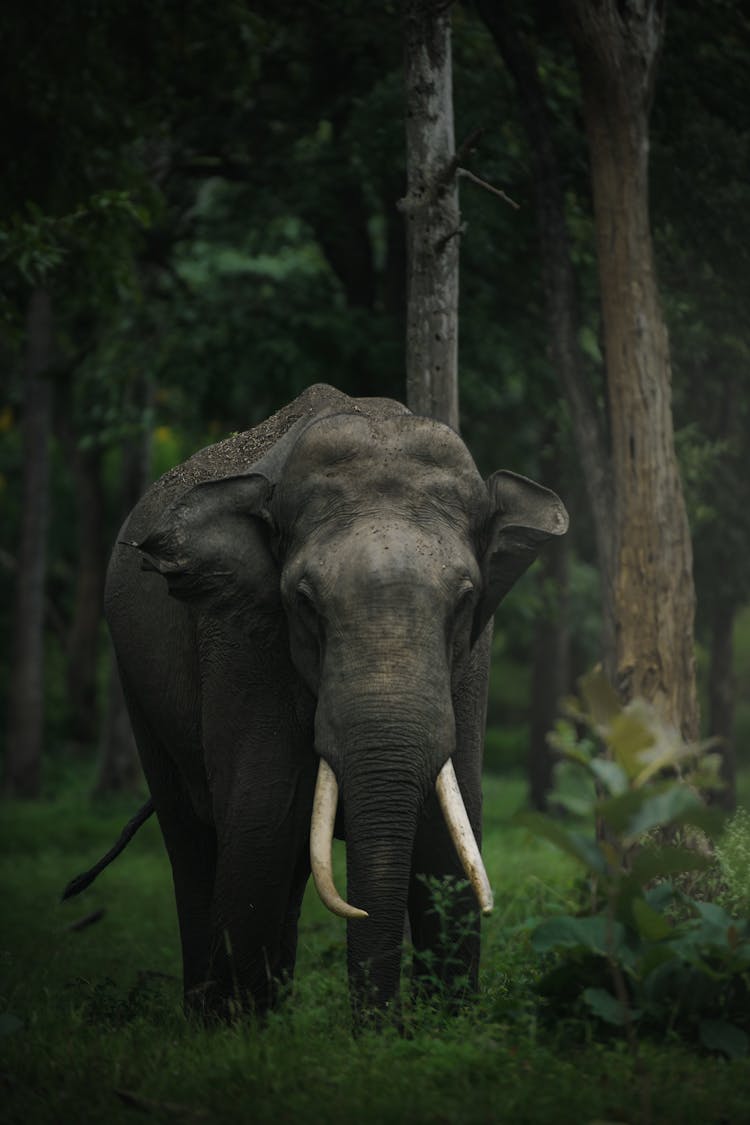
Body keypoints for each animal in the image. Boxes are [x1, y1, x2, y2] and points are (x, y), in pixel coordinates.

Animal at [102, 384, 566, 1021]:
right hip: (136, 682)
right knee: (195, 843)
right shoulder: (242, 637)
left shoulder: (473, 659)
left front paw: (441, 1027)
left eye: (465, 600)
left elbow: (448, 842)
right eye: (304, 602)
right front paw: (239, 1033)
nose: (381, 1029)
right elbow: (260, 829)